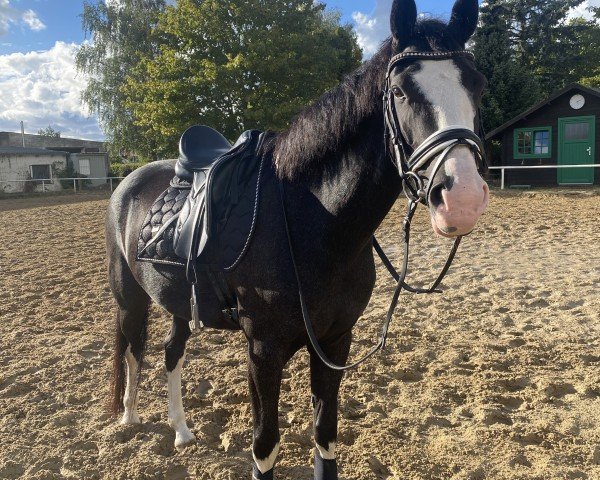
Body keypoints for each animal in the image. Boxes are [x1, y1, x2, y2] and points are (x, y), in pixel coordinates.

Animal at [106, 1, 488, 478]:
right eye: (400, 91)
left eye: (478, 86)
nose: (463, 199)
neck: (314, 222)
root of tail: (129, 181)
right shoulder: (263, 351)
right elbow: (265, 447)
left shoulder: (335, 341)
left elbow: (325, 437)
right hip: (130, 299)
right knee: (133, 350)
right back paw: (129, 417)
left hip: (179, 303)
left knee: (171, 352)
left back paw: (180, 430)